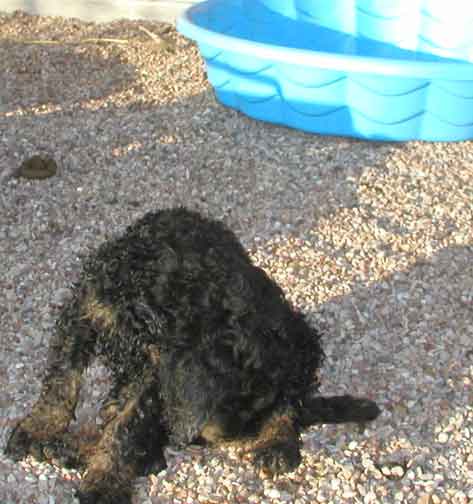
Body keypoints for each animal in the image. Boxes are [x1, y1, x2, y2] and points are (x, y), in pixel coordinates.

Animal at [5, 207, 380, 503]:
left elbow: (127, 427)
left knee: (292, 400)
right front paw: (38, 428)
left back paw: (277, 443)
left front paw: (104, 482)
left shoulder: (154, 375)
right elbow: (62, 381)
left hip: (298, 339)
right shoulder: (86, 309)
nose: (231, 436)